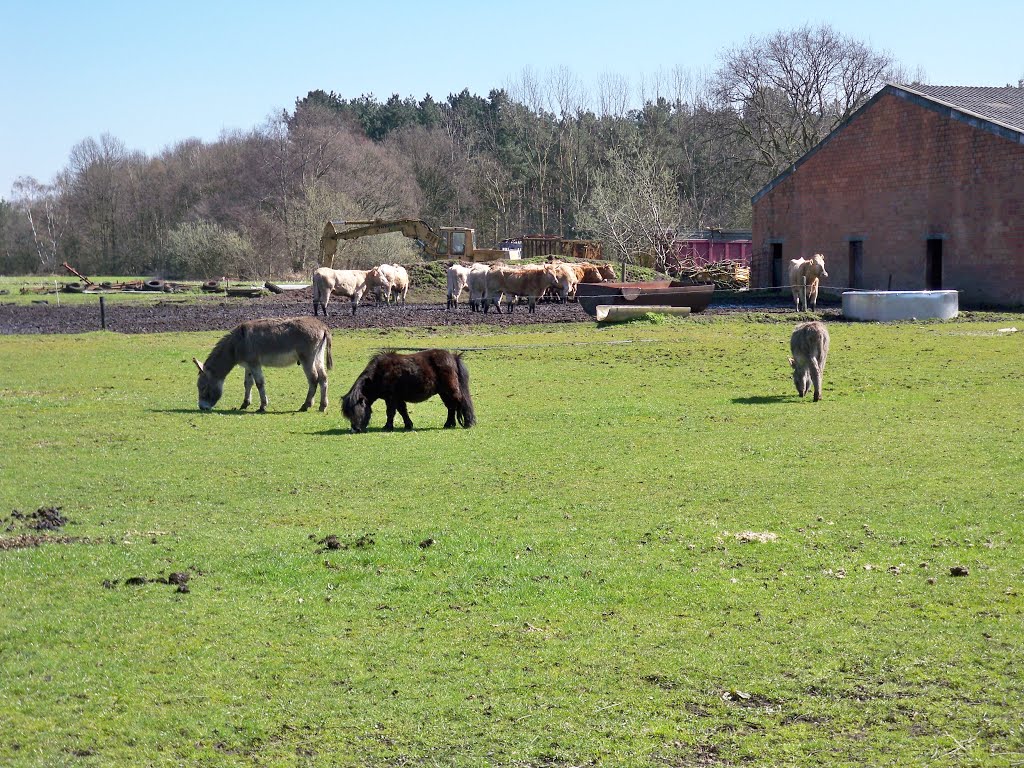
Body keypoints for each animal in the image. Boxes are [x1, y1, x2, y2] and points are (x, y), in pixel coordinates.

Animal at [342, 350, 473, 434]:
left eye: (356, 410)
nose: (355, 430)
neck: (380, 373)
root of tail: (453, 357)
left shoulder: (391, 398)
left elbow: (390, 412)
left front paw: (387, 427)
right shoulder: (398, 398)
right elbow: (402, 411)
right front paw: (408, 425)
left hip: (450, 391)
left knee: (459, 403)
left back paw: (467, 423)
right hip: (444, 393)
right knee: (451, 407)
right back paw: (449, 424)